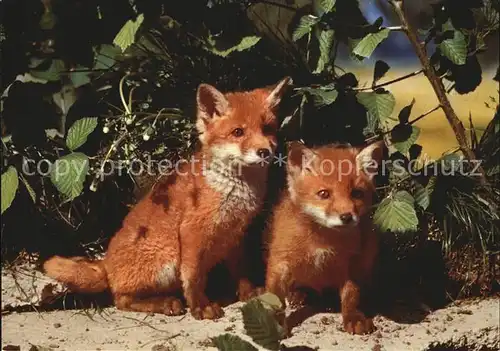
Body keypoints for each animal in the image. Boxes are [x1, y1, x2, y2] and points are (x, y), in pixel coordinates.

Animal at [44, 77, 292, 322]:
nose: (265, 152)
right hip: (167, 259)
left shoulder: (235, 234)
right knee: (120, 300)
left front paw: (247, 293)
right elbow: (193, 277)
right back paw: (165, 303)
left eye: (267, 129)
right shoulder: (192, 232)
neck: (233, 190)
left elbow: (241, 270)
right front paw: (200, 306)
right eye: (238, 132)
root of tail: (105, 263)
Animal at [266, 140, 382, 336]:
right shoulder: (281, 261)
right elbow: (275, 298)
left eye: (356, 193)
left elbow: (351, 295)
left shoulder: (352, 263)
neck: (321, 241)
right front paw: (274, 324)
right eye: (324, 194)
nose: (347, 217)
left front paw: (353, 317)